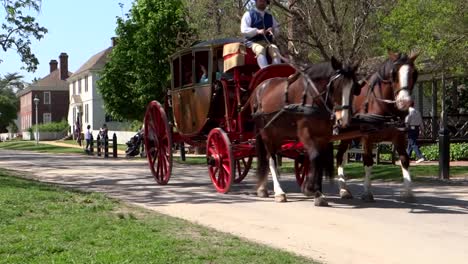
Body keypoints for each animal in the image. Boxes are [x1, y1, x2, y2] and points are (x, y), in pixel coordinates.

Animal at [250, 57, 360, 206]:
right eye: (336, 87)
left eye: (354, 88)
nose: (343, 120)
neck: (313, 97)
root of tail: (260, 87)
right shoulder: (305, 133)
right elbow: (315, 157)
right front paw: (311, 188)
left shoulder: (323, 137)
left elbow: (319, 161)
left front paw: (317, 193)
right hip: (266, 133)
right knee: (271, 159)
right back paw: (278, 192)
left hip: (278, 134)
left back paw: (263, 189)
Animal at [336, 50, 420, 201]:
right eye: (393, 74)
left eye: (414, 73)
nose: (404, 102)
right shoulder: (367, 138)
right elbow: (368, 162)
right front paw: (367, 192)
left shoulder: (399, 137)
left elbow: (404, 160)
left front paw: (408, 192)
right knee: (339, 157)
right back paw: (343, 189)